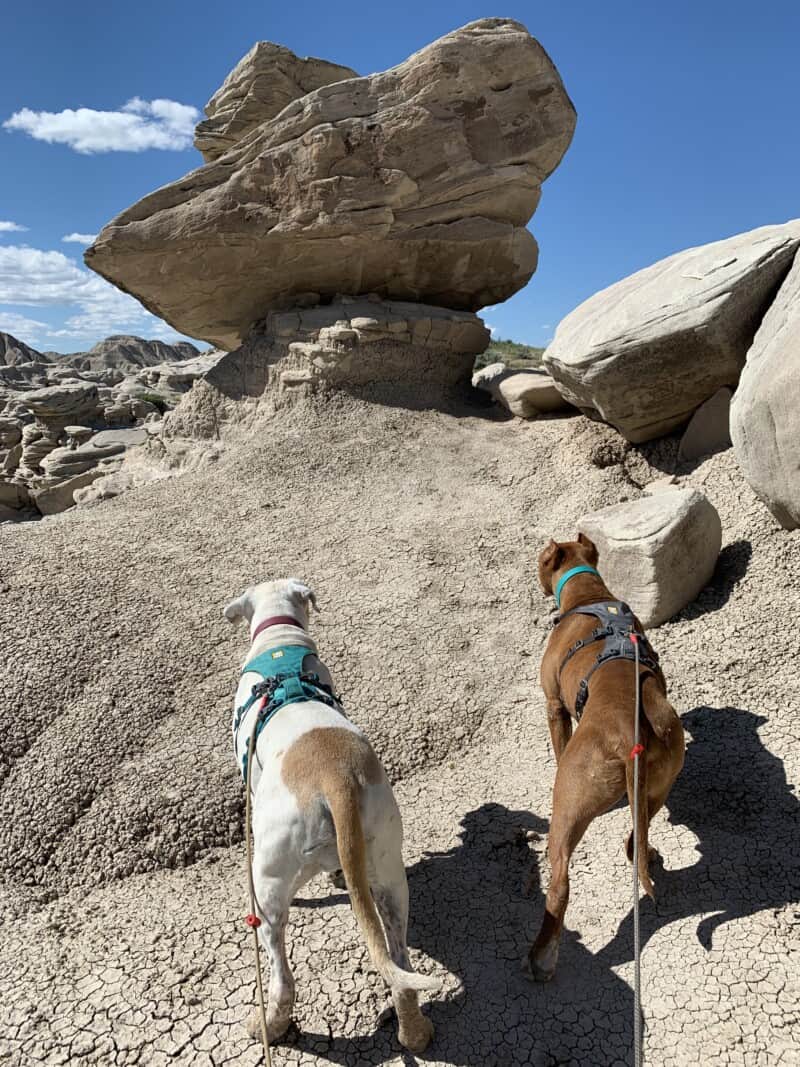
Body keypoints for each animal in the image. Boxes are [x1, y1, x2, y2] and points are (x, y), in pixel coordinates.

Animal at [226, 576, 435, 1049]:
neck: (280, 644)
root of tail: (335, 779)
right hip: (388, 871)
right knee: (400, 962)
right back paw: (414, 1032)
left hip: (270, 879)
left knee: (282, 973)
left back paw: (270, 1025)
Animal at [529, 533, 686, 981]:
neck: (590, 594)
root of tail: (627, 734)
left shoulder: (553, 705)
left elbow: (556, 739)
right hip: (659, 783)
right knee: (636, 838)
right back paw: (649, 854)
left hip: (568, 805)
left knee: (560, 885)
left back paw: (542, 955)